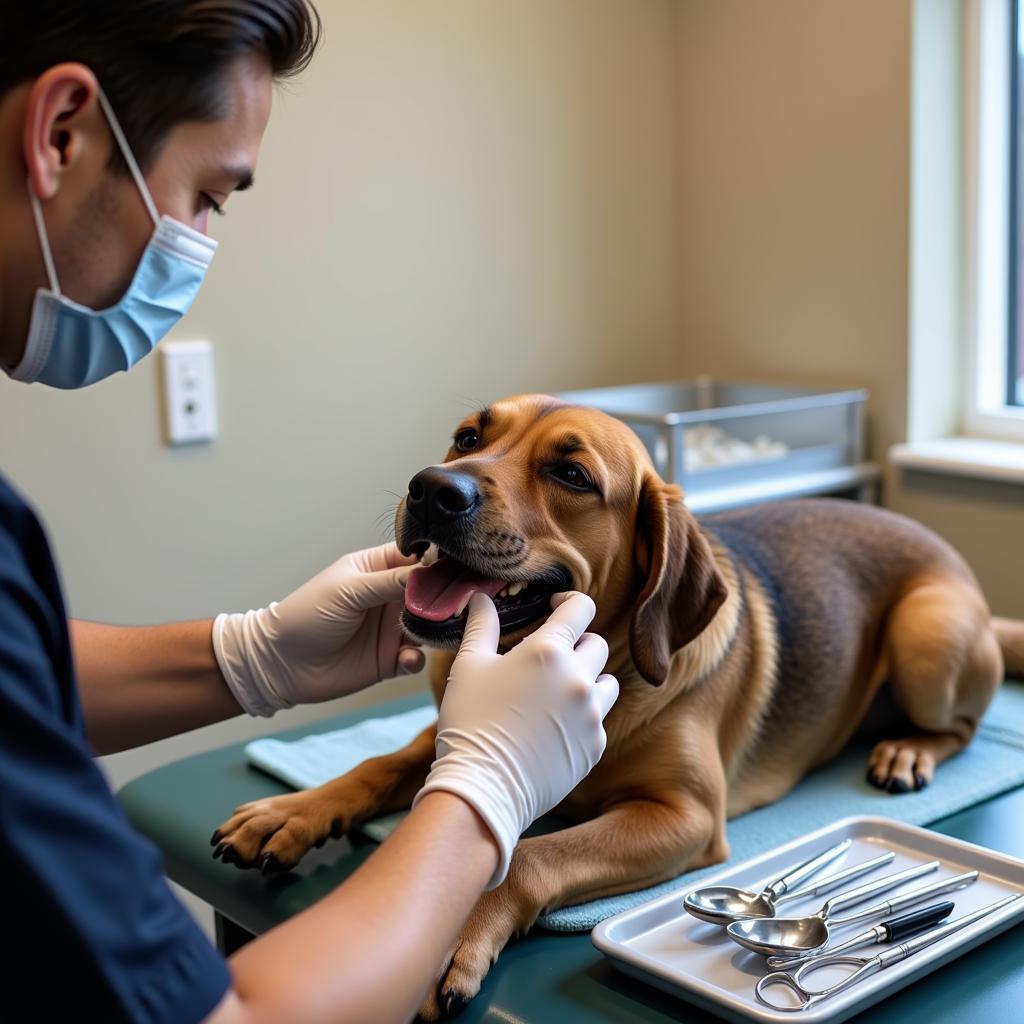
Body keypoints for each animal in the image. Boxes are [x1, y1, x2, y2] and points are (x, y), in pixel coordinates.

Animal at [209, 391, 1024, 1015]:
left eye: (570, 473)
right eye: (469, 437)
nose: (433, 487)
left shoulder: (683, 817)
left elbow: (530, 855)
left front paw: (458, 922)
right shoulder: (458, 737)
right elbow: (381, 763)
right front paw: (295, 809)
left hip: (927, 635)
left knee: (962, 724)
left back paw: (908, 749)